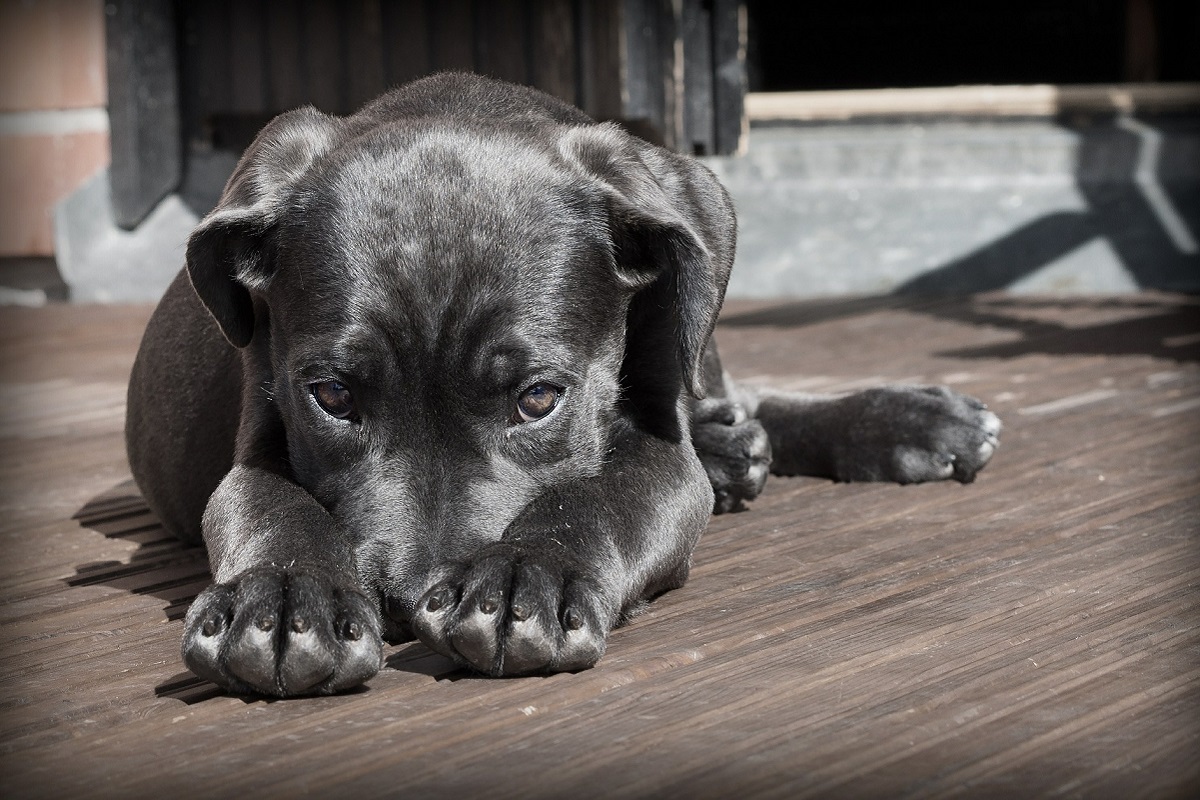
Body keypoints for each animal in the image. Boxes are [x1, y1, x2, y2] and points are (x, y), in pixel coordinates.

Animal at [124, 71, 1003, 695]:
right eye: (332, 397)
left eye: (539, 398)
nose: (408, 602)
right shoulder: (258, 434)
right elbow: (270, 504)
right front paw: (281, 599)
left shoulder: (659, 451)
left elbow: (600, 495)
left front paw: (525, 576)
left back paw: (903, 422)